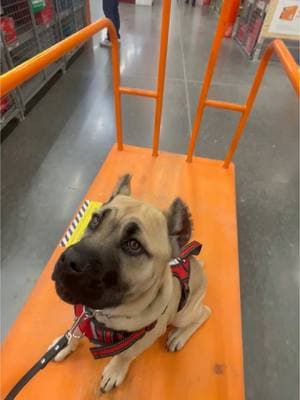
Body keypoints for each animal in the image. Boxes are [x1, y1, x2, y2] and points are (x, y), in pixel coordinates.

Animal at [51, 176, 210, 394]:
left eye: (134, 245)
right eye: (95, 220)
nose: (69, 261)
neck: (105, 314)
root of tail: (196, 263)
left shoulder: (146, 337)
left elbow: (125, 355)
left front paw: (115, 370)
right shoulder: (81, 317)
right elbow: (74, 331)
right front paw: (65, 344)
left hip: (183, 315)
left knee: (204, 313)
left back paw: (179, 336)